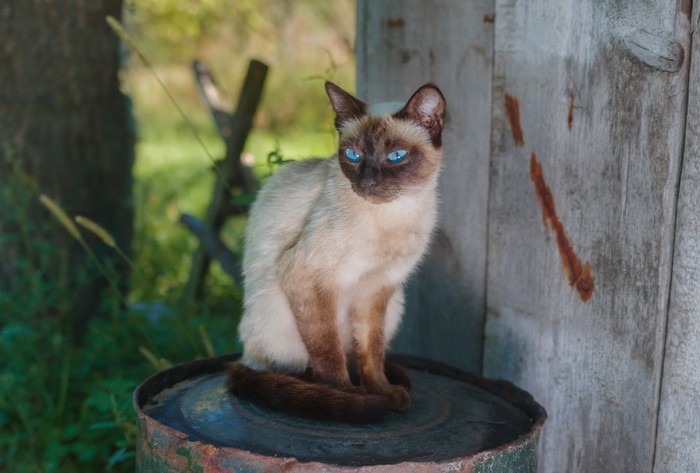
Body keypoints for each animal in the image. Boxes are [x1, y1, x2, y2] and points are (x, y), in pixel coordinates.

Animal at [230, 81, 448, 424]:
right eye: (353, 155)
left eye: (396, 156)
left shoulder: (377, 288)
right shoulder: (307, 276)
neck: (395, 216)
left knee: (355, 353)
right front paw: (352, 397)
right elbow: (328, 353)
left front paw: (381, 391)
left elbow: (371, 354)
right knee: (286, 366)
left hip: (395, 304)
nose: (368, 184)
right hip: (279, 314)